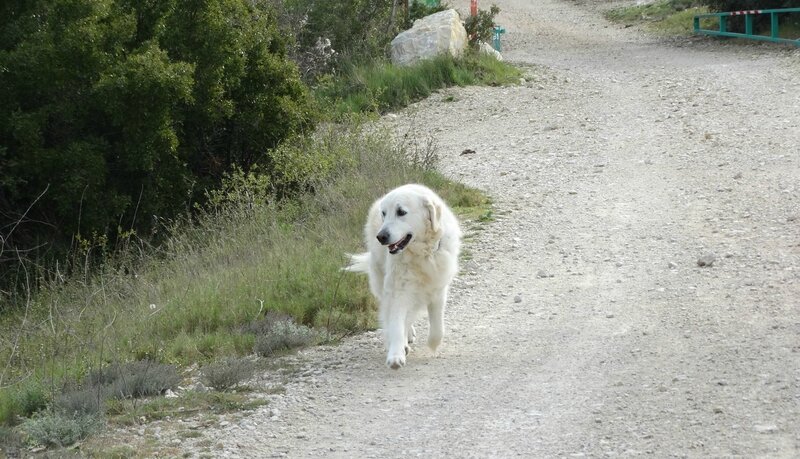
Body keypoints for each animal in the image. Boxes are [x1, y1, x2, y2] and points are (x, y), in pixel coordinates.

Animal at [346, 183, 462, 370]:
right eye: (384, 213)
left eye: (401, 212)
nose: (381, 237)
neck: (423, 254)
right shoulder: (397, 290)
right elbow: (395, 323)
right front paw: (395, 354)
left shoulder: (438, 289)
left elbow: (438, 327)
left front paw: (433, 344)